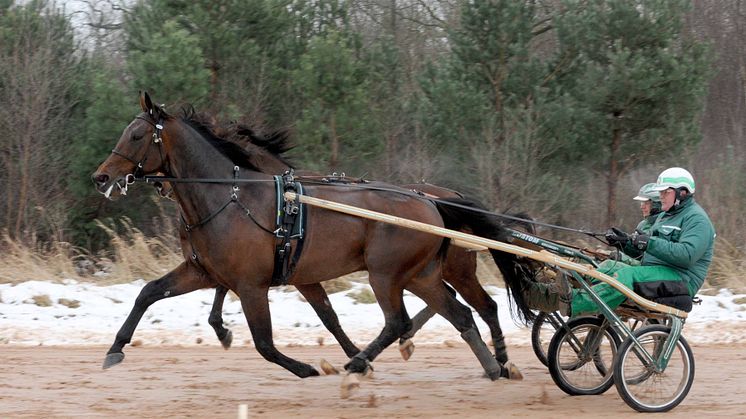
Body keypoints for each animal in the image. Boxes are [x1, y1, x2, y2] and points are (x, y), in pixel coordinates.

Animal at [93, 92, 536, 380]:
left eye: (136, 136)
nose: (101, 177)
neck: (230, 196)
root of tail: (434, 204)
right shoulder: (206, 271)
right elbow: (148, 292)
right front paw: (115, 349)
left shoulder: (251, 284)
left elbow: (265, 342)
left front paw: (306, 367)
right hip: (421, 274)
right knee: (461, 313)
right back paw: (492, 366)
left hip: (388, 274)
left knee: (402, 320)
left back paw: (364, 362)